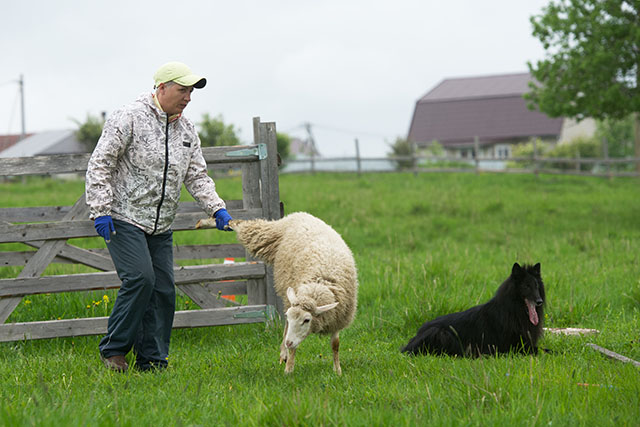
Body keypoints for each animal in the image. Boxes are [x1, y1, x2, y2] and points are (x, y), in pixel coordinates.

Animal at [225, 214, 358, 374]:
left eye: (307, 320)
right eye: (288, 316)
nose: (288, 343)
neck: (319, 284)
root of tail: (297, 215)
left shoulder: (338, 317)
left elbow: (335, 345)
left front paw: (337, 371)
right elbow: (293, 345)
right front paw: (289, 370)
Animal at [400, 264, 544, 358]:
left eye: (536, 286)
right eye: (526, 286)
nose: (539, 301)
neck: (513, 311)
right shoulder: (516, 348)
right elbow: (545, 350)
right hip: (441, 333)